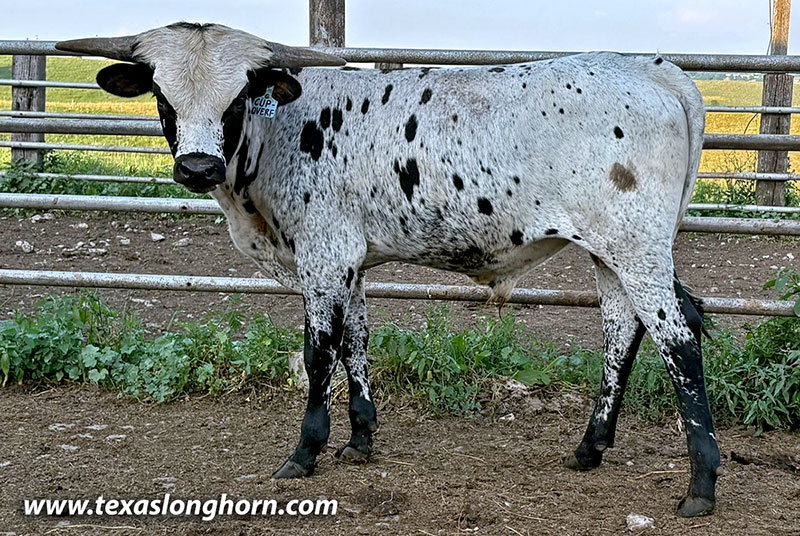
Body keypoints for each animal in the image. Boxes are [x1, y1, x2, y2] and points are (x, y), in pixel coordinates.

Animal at [57, 22, 721, 517]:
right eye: (161, 94)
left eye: (239, 95)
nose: (197, 167)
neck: (281, 133)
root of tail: (656, 69)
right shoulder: (350, 261)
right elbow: (356, 342)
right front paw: (360, 438)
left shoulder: (322, 255)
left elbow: (318, 350)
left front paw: (305, 452)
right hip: (609, 252)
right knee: (623, 332)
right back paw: (590, 447)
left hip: (637, 248)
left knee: (678, 339)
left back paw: (701, 485)